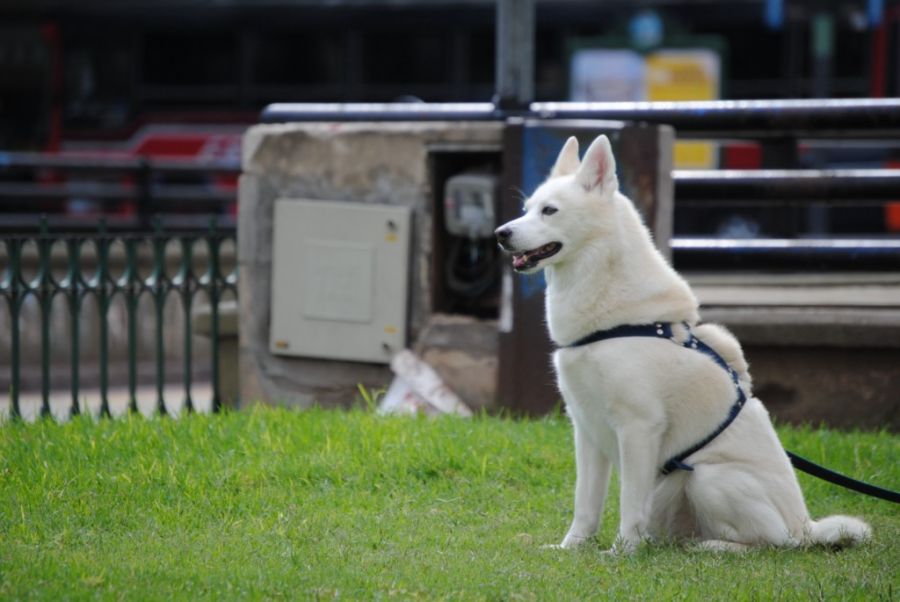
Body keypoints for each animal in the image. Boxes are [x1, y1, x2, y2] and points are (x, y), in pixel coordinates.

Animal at [496, 134, 868, 552]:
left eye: (549, 211)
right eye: (526, 209)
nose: (500, 234)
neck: (615, 320)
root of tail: (805, 526)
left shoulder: (638, 427)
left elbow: (628, 505)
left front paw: (621, 553)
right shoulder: (586, 429)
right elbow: (585, 503)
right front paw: (572, 549)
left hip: (708, 478)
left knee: (771, 542)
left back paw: (714, 548)